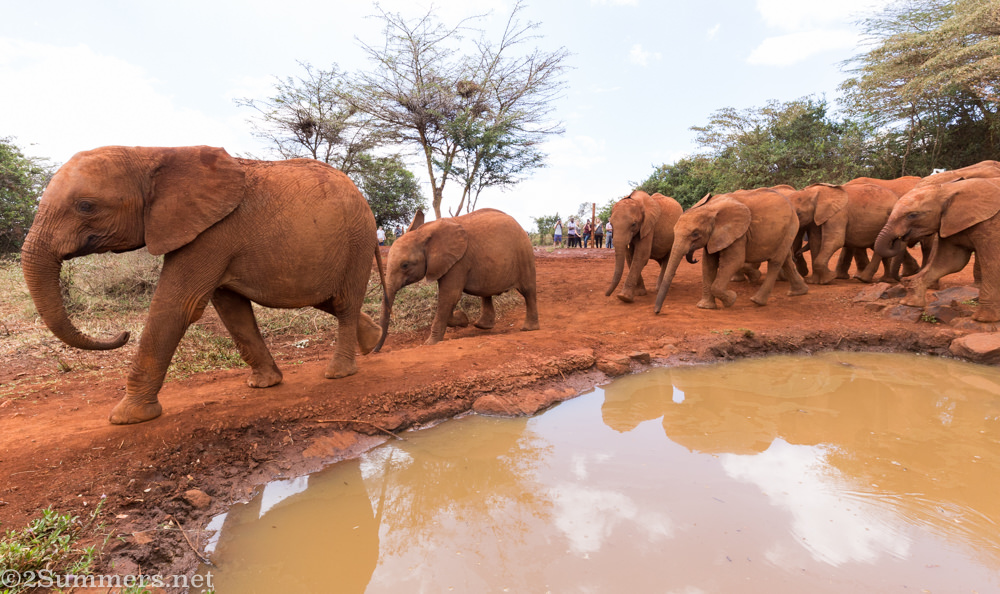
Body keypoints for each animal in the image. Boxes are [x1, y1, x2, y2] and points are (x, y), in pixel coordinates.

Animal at [21, 146, 384, 425]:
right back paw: (373, 341)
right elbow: (231, 309)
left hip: (359, 240)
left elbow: (176, 306)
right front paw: (265, 385)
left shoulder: (211, 234)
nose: (122, 334)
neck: (149, 155)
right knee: (327, 299)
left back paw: (339, 373)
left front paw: (126, 418)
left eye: (86, 206)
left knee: (344, 303)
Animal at [375, 208, 539, 348]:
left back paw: (528, 328)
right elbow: (449, 299)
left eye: (405, 265)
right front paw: (464, 320)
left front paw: (430, 343)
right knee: (486, 293)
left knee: (528, 290)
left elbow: (449, 296)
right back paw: (482, 326)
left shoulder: (459, 262)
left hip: (524, 254)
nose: (375, 351)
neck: (424, 233)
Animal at [653, 188, 808, 313]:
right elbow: (708, 265)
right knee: (786, 260)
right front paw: (705, 307)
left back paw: (757, 301)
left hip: (791, 226)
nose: (657, 312)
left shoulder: (738, 234)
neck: (710, 208)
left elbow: (734, 262)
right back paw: (799, 292)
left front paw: (732, 299)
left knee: (775, 262)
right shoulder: (714, 237)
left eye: (695, 234)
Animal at [874, 177, 1000, 322]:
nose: (899, 238)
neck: (950, 189)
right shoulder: (950, 222)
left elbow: (992, 263)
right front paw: (909, 303)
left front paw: (983, 319)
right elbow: (951, 262)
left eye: (913, 215)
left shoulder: (991, 225)